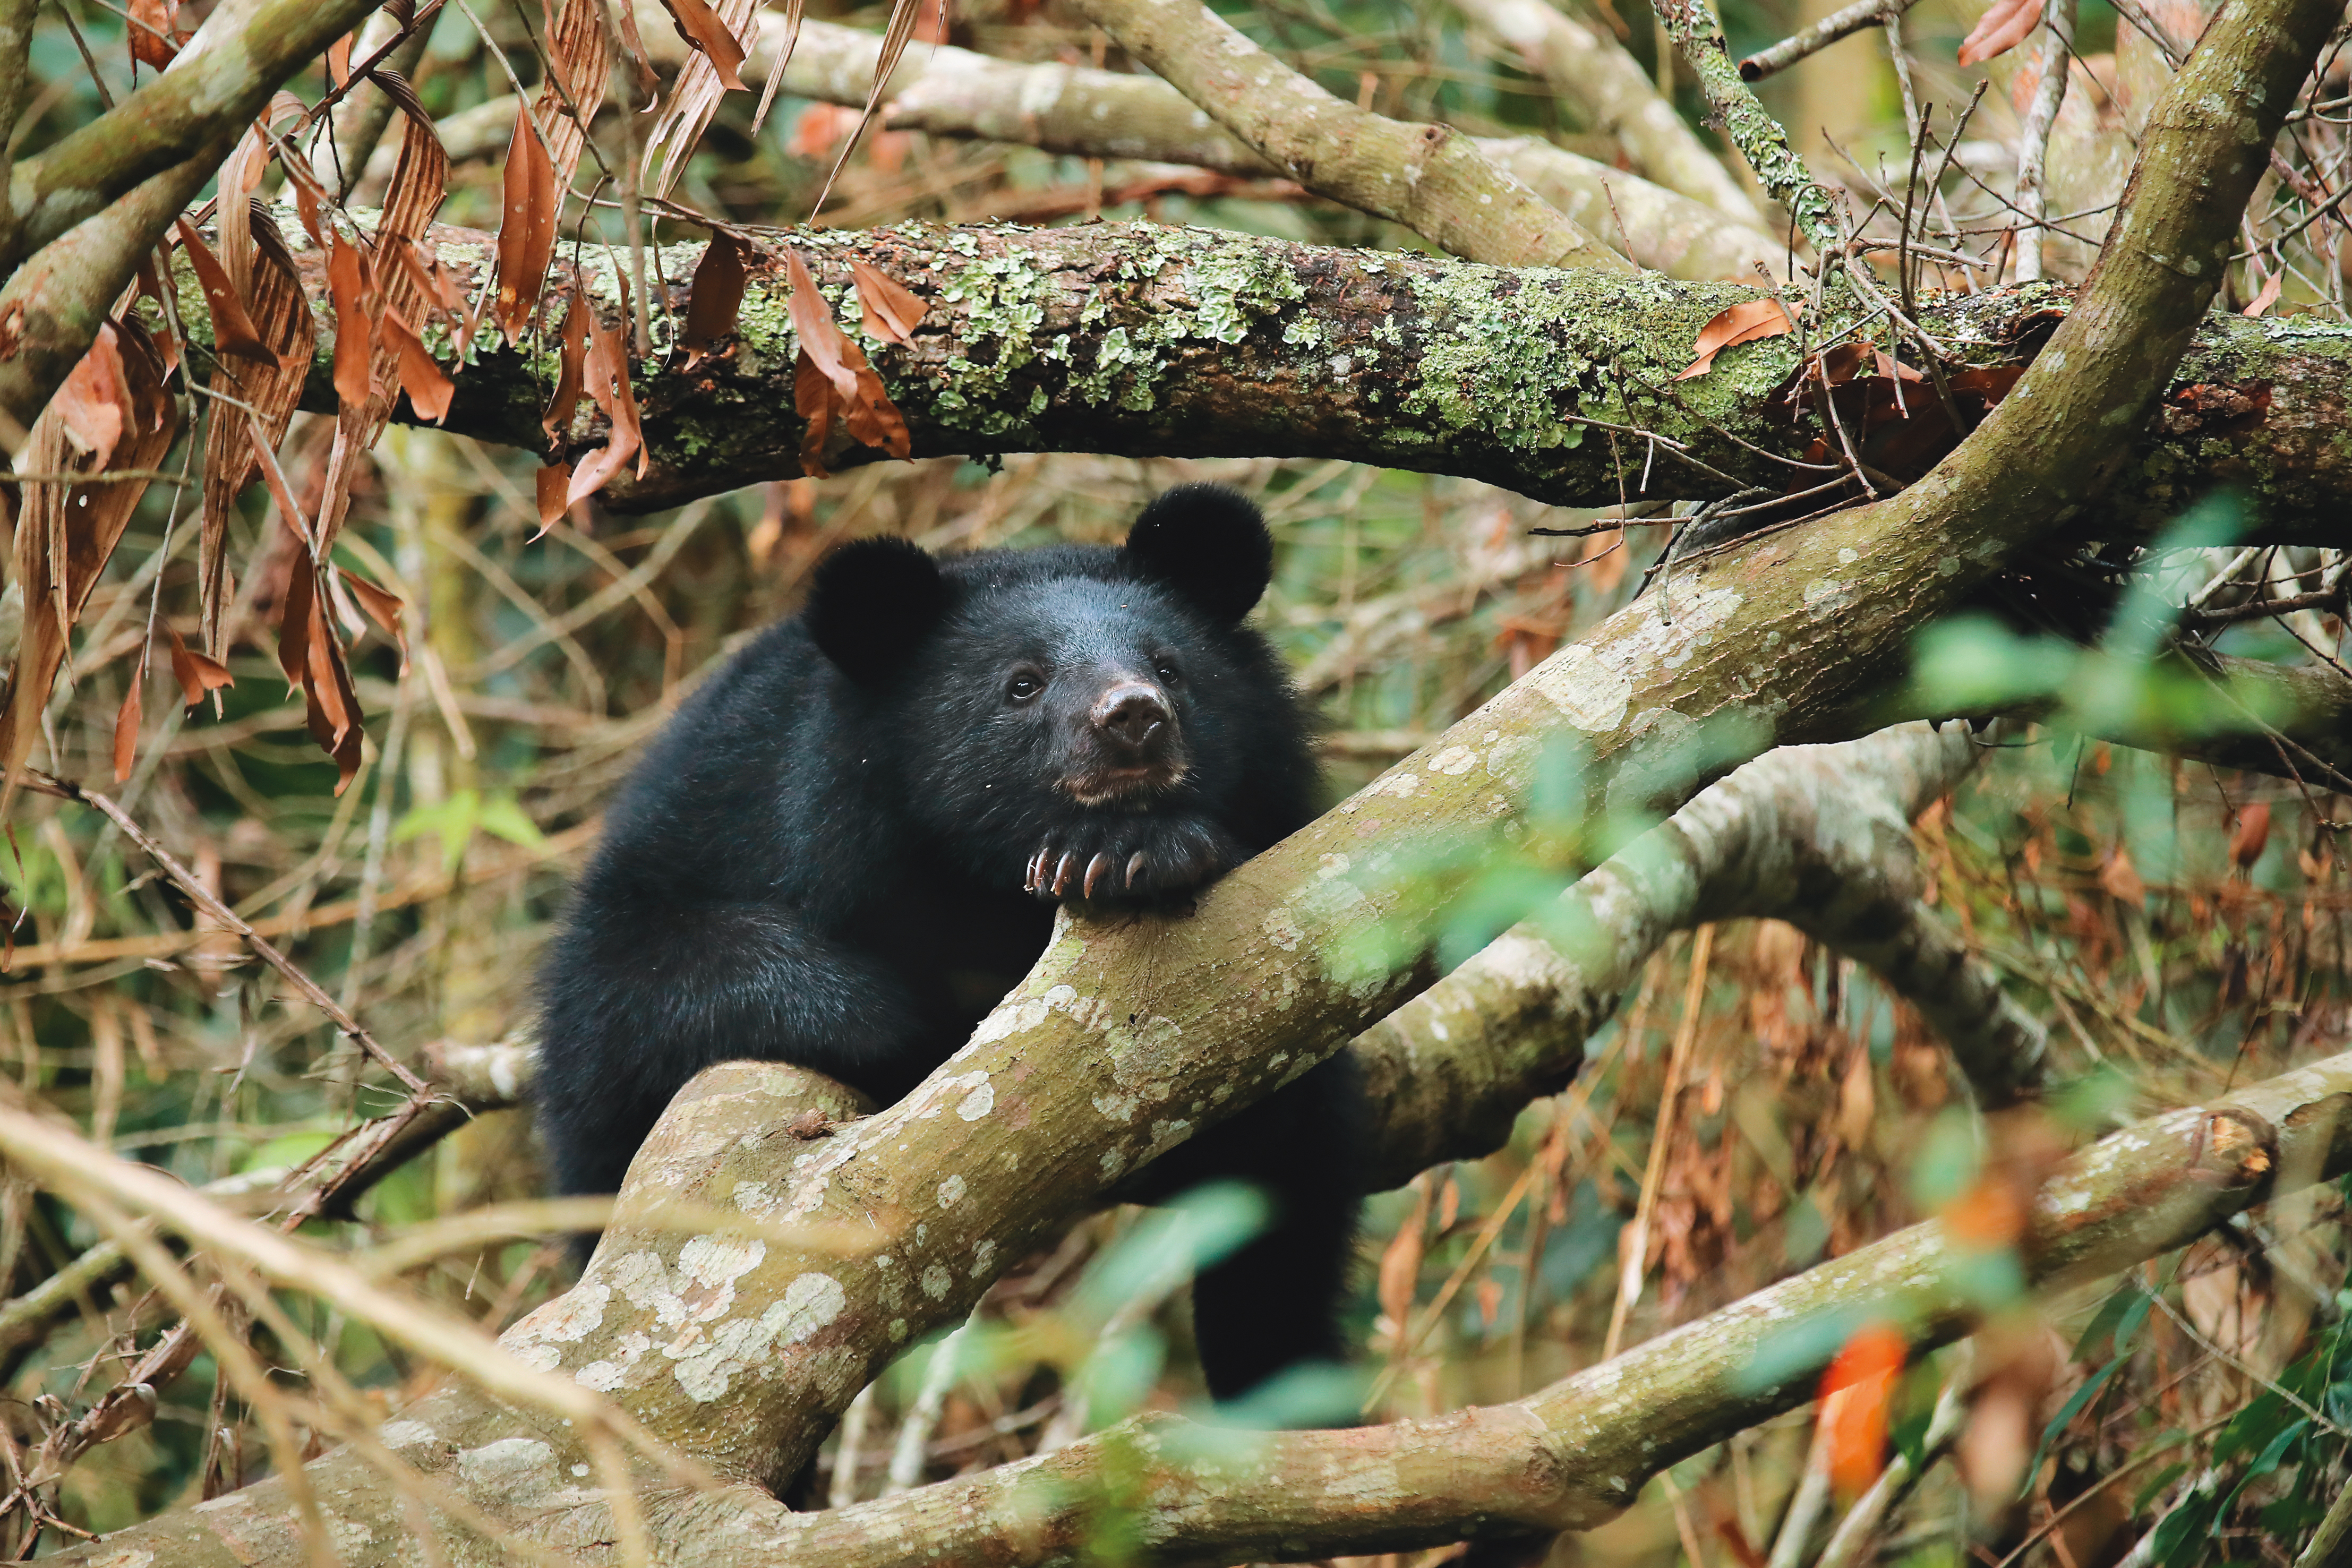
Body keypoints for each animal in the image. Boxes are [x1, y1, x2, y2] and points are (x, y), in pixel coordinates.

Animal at [534, 483, 1365, 1407]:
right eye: (1022, 685)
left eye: (1170, 665)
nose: (1132, 717)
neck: (982, 885)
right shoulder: (724, 817)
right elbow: (631, 995)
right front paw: (899, 1023)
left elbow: (1278, 1125)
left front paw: (1131, 855)